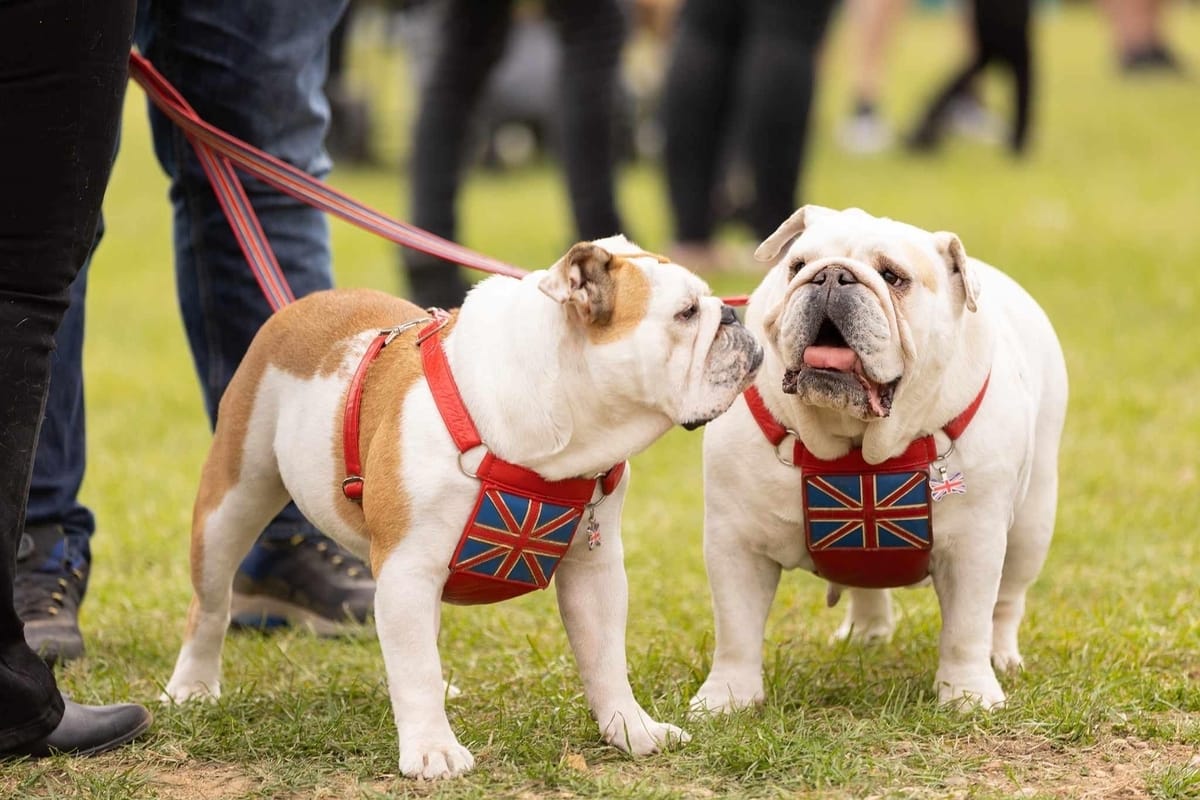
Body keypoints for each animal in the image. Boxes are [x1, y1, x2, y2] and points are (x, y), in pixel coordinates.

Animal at [163, 236, 763, 778]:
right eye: (686, 313)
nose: (734, 316)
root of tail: (301, 305)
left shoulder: (595, 571)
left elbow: (605, 661)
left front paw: (631, 729)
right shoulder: (407, 567)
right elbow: (414, 670)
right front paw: (432, 749)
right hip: (233, 500)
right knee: (210, 605)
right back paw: (192, 687)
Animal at [691, 206, 1067, 714]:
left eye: (893, 277)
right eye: (796, 266)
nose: (832, 275)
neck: (853, 439)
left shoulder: (974, 545)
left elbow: (967, 627)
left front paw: (967, 695)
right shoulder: (736, 543)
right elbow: (736, 630)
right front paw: (727, 698)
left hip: (1031, 525)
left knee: (1006, 603)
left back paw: (1001, 656)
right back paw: (864, 634)